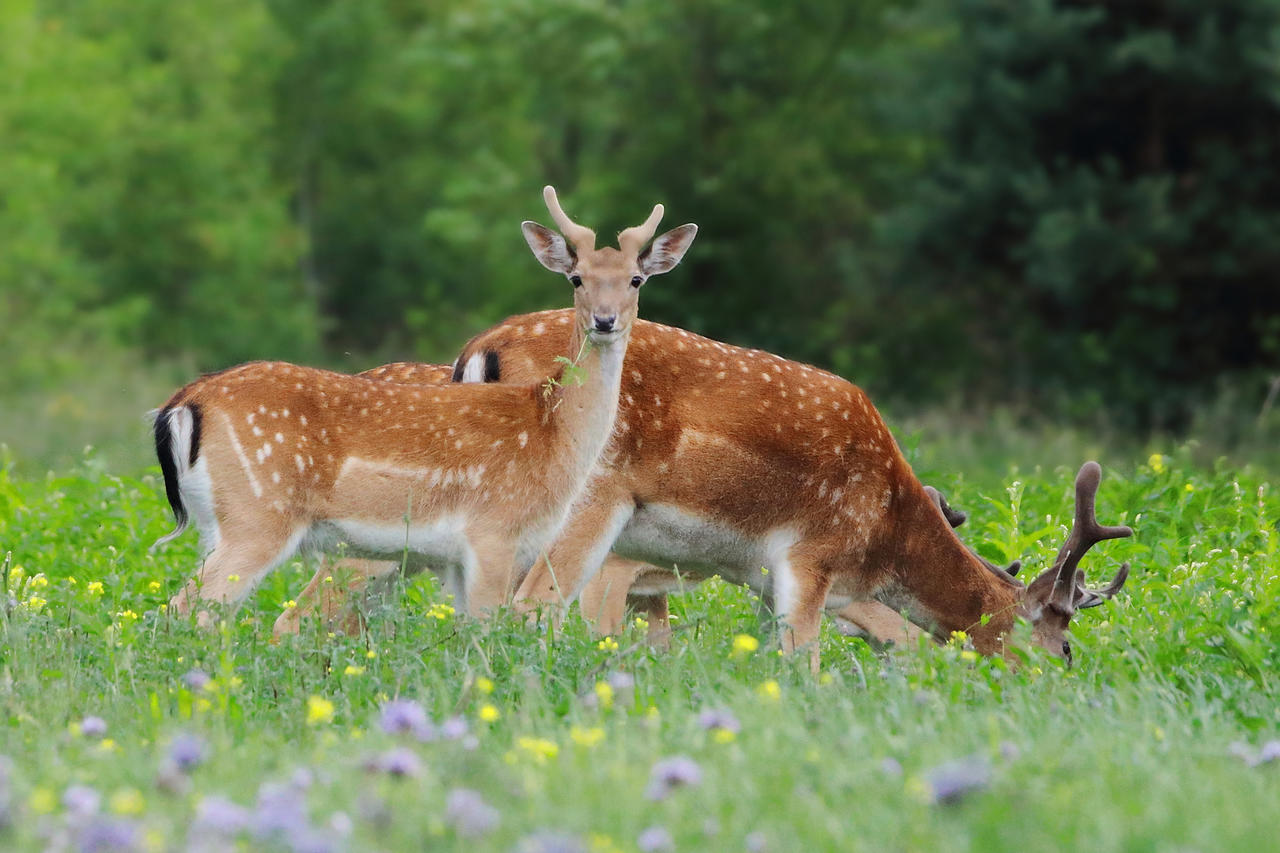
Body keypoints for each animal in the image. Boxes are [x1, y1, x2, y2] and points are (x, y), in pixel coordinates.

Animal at [149, 185, 701, 625]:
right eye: (577, 278)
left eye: (635, 279)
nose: (605, 321)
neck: (552, 434)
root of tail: (182, 403)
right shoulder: (492, 533)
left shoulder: (463, 556)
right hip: (258, 515)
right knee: (187, 612)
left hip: (216, 523)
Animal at [275, 312, 1126, 666]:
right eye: (1064, 640)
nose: (1063, 687)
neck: (886, 529)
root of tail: (481, 350)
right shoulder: (808, 553)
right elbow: (802, 657)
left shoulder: (742, 574)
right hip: (586, 501)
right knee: (523, 610)